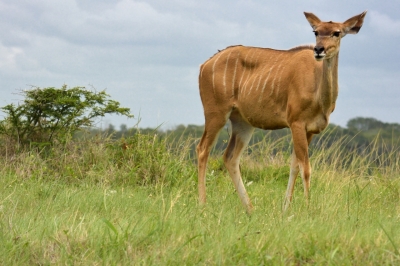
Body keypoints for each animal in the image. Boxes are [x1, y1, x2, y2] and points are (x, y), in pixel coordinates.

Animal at [195, 11, 368, 213]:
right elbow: (305, 167)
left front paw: (286, 208)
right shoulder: (296, 123)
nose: (319, 50)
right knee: (203, 149)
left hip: (243, 123)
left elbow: (295, 165)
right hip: (216, 113)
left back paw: (250, 209)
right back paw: (203, 204)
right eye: (316, 31)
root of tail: (204, 65)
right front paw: (308, 208)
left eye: (337, 32)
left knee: (230, 157)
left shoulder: (310, 130)